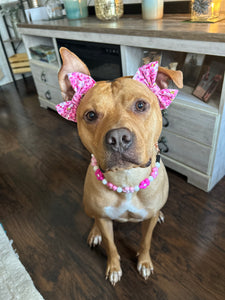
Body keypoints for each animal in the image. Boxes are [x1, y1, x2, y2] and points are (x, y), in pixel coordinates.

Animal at [57, 47, 182, 286]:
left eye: (141, 105)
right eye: (91, 115)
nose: (117, 138)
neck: (127, 179)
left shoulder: (148, 222)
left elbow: (145, 242)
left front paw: (144, 263)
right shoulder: (105, 220)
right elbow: (112, 246)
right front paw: (114, 268)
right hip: (88, 206)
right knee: (94, 219)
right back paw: (94, 233)